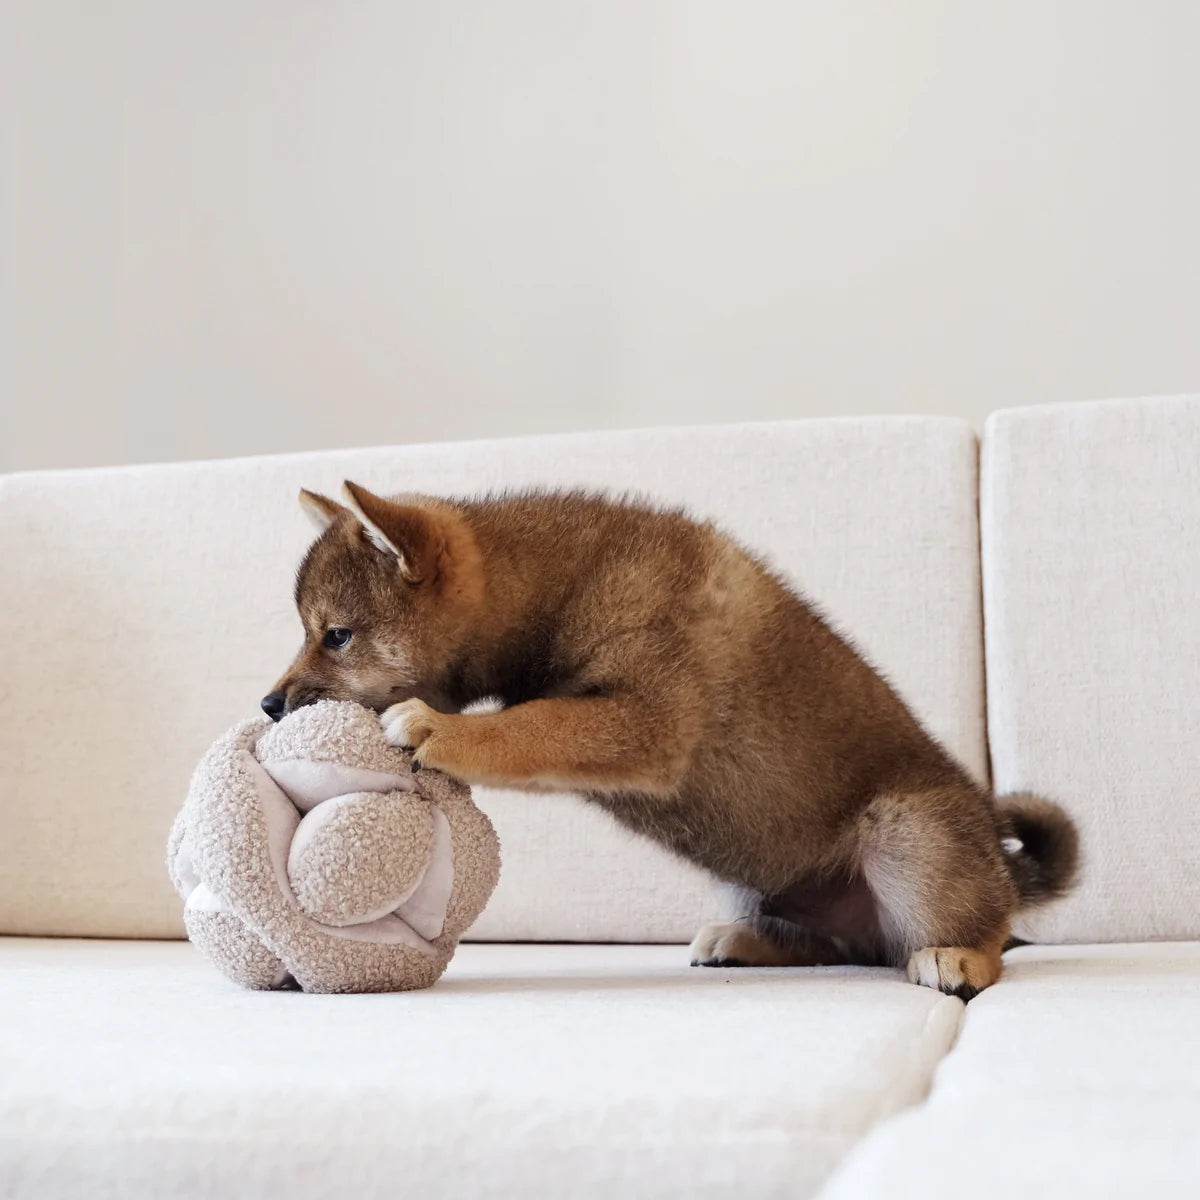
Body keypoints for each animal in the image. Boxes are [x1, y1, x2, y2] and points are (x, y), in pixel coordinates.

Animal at [270, 482, 1080, 998]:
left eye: (336, 635)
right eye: (310, 632)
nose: (269, 703)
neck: (558, 585)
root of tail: (1006, 873)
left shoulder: (646, 721)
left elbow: (531, 724)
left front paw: (441, 727)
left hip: (907, 832)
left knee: (976, 935)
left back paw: (958, 955)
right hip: (753, 875)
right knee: (847, 945)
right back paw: (748, 944)